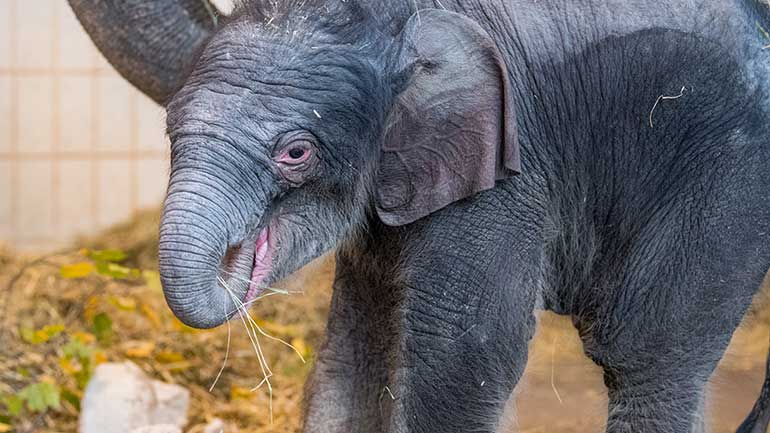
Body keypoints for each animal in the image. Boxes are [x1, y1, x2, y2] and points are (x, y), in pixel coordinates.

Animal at [70, 0, 768, 430]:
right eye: (170, 130)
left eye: (296, 152)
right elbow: (353, 352)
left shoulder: (506, 170)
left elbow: (463, 350)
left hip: (727, 172)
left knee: (644, 354)